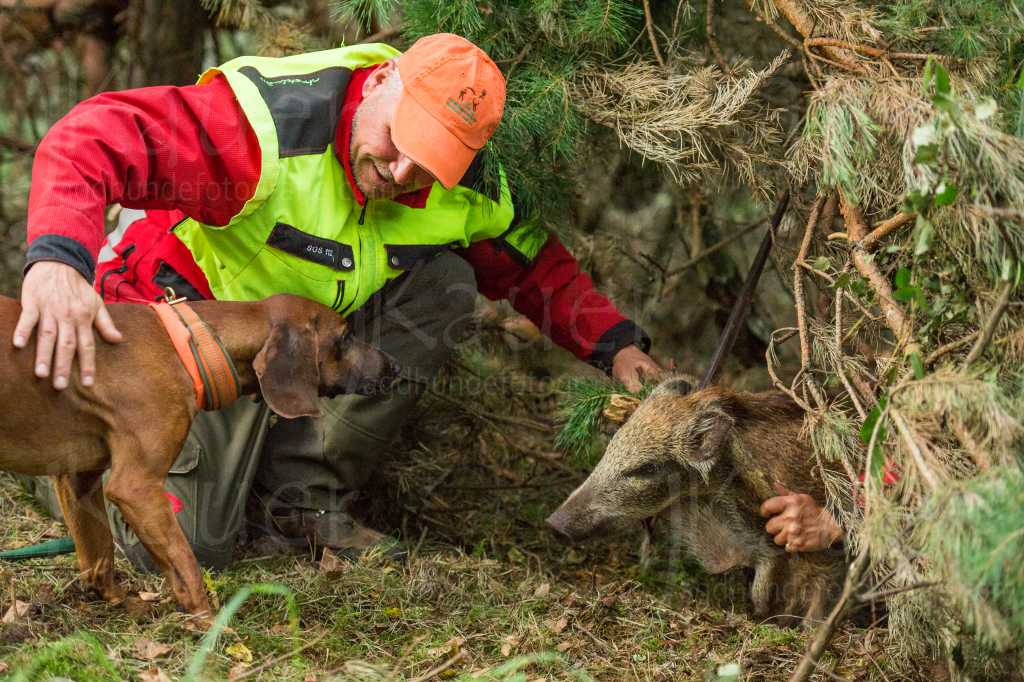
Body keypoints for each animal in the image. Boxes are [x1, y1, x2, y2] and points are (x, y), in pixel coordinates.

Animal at [0, 288, 395, 618]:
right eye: (345, 336)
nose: (395, 366)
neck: (190, 345)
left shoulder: (77, 480)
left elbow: (99, 556)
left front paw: (126, 606)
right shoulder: (137, 488)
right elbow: (185, 563)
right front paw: (209, 624)